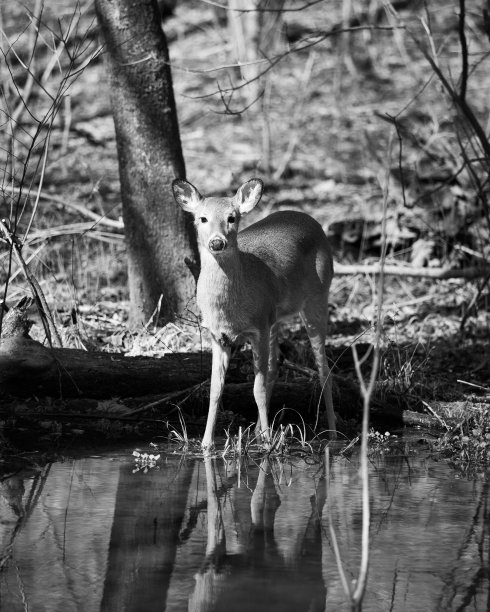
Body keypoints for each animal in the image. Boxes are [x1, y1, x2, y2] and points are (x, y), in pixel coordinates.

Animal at [172, 177, 336, 450]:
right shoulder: (218, 336)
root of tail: (311, 220)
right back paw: (259, 430)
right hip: (275, 317)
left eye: (232, 217)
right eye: (202, 218)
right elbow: (215, 389)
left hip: (317, 297)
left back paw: (332, 432)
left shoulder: (257, 328)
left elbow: (256, 388)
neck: (229, 310)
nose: (217, 242)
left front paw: (269, 444)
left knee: (323, 369)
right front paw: (206, 444)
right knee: (275, 365)